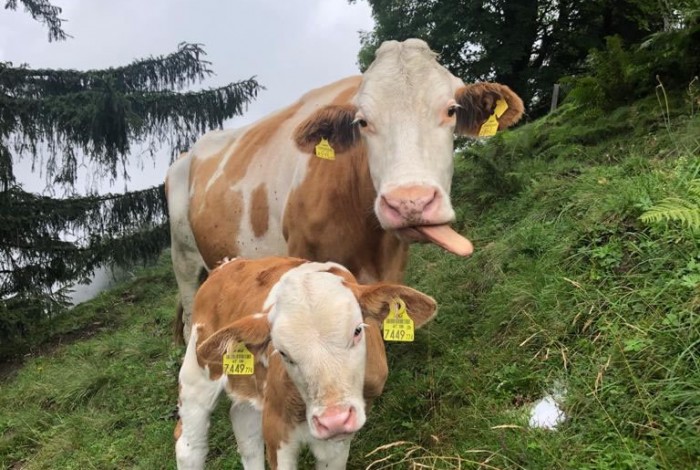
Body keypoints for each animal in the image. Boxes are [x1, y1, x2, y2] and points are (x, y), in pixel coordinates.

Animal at [175, 258, 434, 470]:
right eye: (282, 352)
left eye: (357, 331)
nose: (333, 420)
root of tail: (224, 265)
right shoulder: (276, 427)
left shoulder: (341, 436)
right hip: (196, 376)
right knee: (189, 445)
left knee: (244, 428)